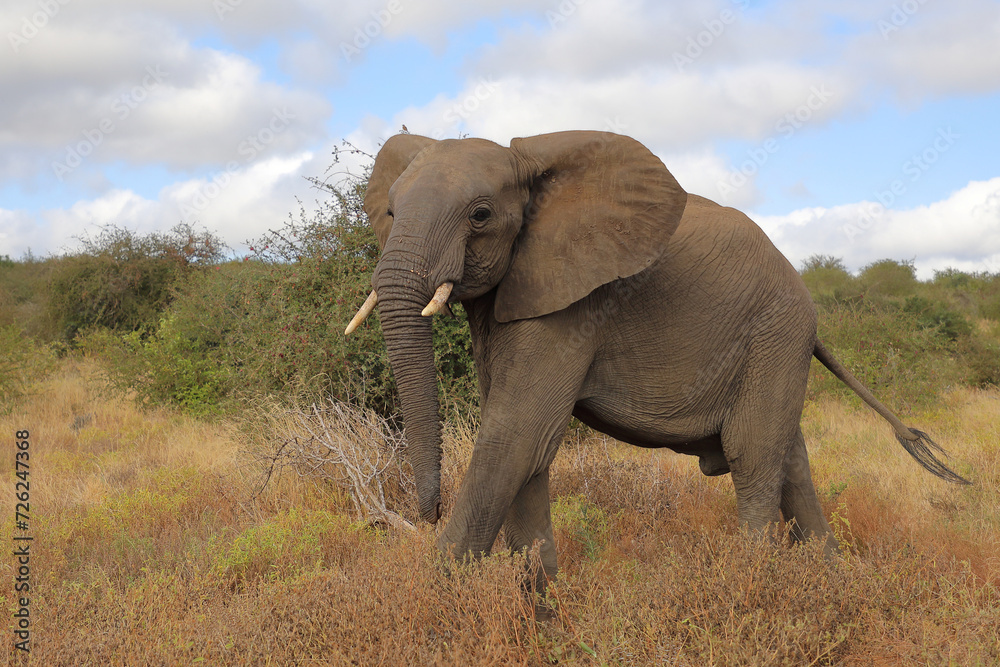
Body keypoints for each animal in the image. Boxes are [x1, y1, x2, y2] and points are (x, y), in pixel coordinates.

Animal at [344, 130, 970, 588]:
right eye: (391, 212)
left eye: (479, 215)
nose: (423, 512)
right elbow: (528, 448)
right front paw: (541, 612)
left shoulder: (575, 304)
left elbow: (516, 435)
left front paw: (439, 605)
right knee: (790, 460)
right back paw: (830, 584)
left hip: (778, 330)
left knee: (753, 454)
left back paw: (757, 590)